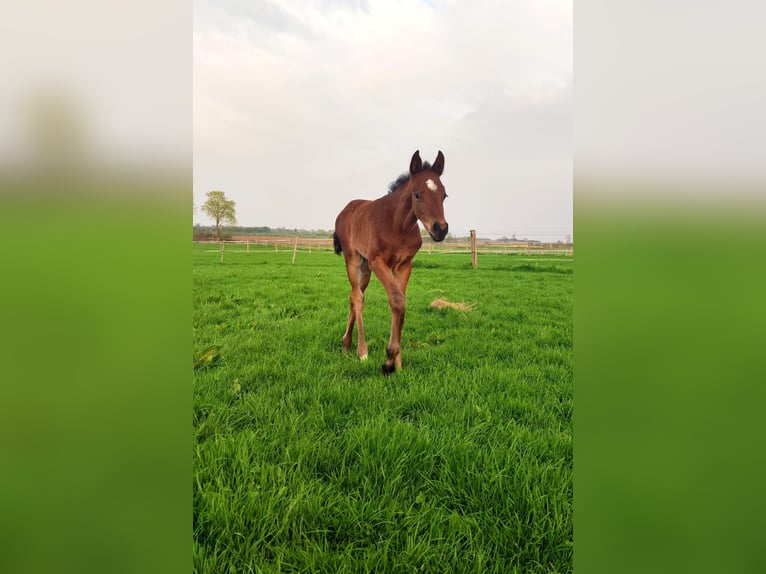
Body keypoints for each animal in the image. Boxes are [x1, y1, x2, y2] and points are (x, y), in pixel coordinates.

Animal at [333, 150, 449, 375]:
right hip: (353, 258)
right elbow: (396, 300)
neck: (399, 226)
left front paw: (398, 363)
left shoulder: (404, 265)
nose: (440, 229)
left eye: (444, 195)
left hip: (365, 266)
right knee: (357, 297)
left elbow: (401, 303)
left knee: (356, 295)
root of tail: (346, 209)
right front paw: (388, 361)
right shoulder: (379, 262)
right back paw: (361, 351)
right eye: (418, 194)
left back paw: (346, 345)